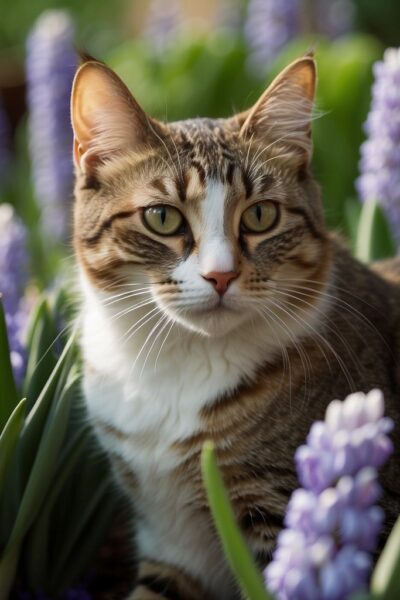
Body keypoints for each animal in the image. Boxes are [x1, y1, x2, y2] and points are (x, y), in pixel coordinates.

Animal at [70, 52, 400, 600]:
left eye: (261, 215)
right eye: (162, 218)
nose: (220, 275)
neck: (180, 362)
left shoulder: (280, 511)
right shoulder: (170, 538)